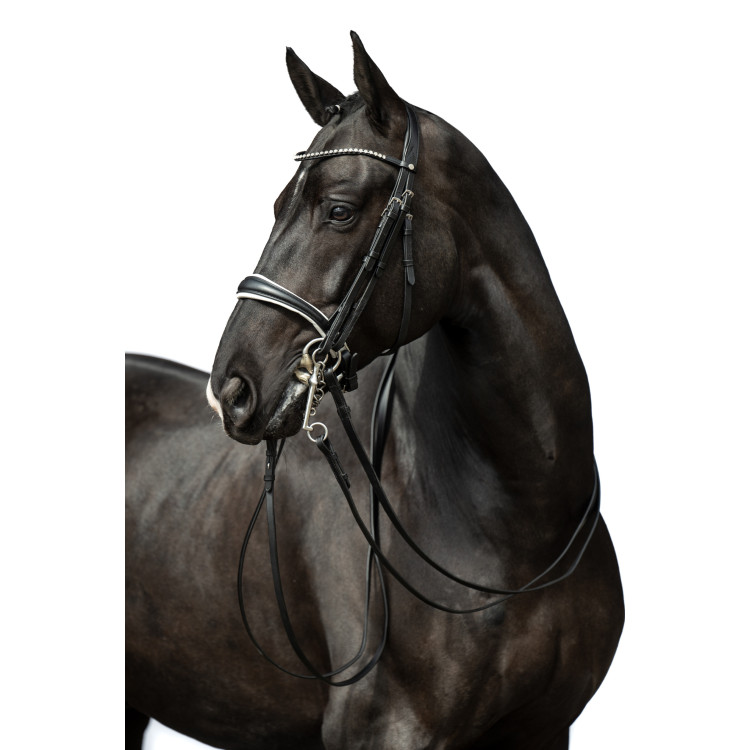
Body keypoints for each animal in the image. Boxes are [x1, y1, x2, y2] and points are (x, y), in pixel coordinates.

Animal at [126, 32, 624, 750]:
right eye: (277, 207)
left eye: (338, 210)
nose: (231, 390)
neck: (520, 522)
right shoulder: (387, 729)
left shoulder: (546, 727)